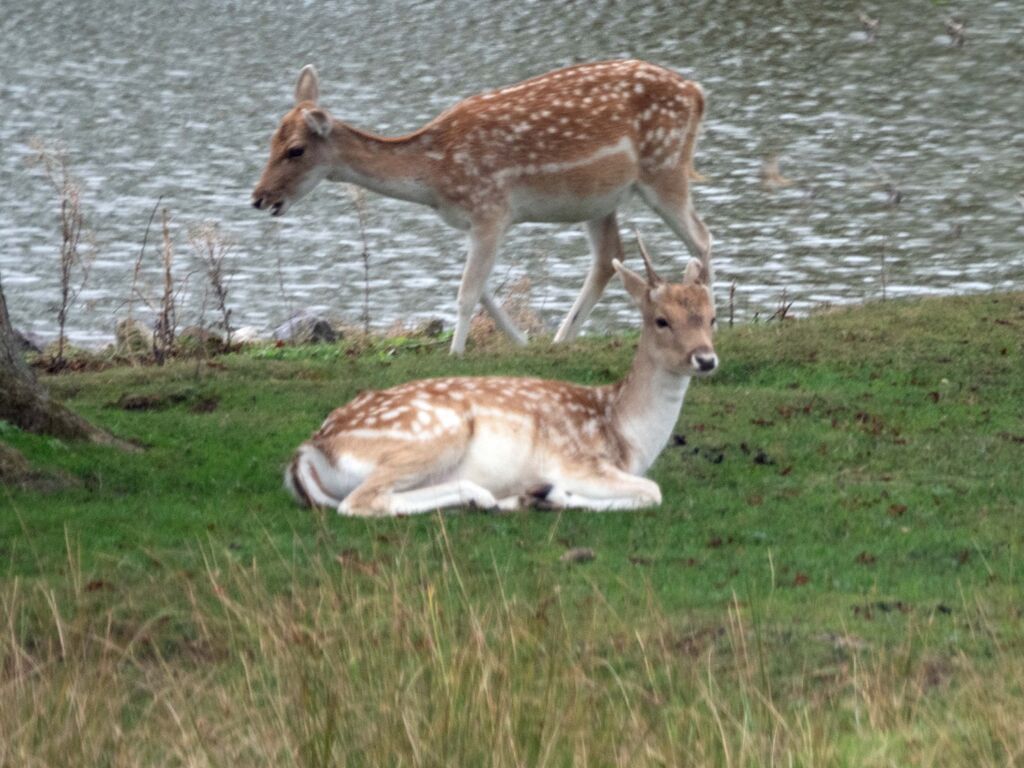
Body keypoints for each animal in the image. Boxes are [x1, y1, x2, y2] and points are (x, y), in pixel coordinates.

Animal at [252, 59, 713, 354]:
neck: (435, 176)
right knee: (609, 257)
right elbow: (485, 287)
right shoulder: (473, 222)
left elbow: (467, 291)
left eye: (295, 150)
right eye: (271, 140)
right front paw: (522, 343)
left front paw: (455, 355)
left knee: (701, 237)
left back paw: (710, 324)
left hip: (664, 170)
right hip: (600, 198)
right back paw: (562, 340)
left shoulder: (491, 208)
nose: (259, 197)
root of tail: (697, 93)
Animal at [285, 235, 717, 516]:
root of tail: (308, 451)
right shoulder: (574, 461)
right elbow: (652, 491)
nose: (706, 359)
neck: (625, 435)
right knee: (359, 502)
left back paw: (496, 497)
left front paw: (538, 496)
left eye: (712, 318)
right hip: (433, 435)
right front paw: (552, 496)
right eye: (661, 320)